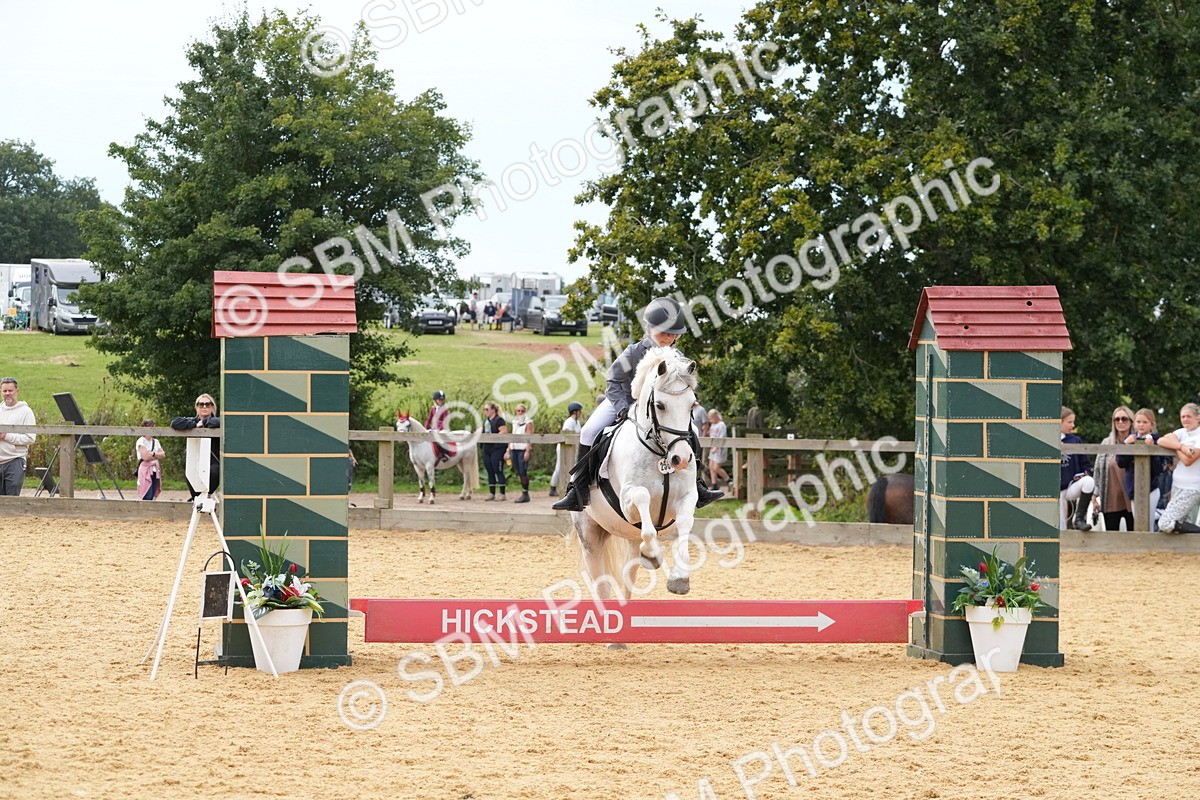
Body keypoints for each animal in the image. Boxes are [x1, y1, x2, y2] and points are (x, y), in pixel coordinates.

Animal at [571, 348, 701, 599]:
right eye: (660, 405)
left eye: (692, 405)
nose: (681, 459)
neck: (661, 454)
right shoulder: (628, 501)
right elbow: (642, 497)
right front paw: (652, 555)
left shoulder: (687, 497)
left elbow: (685, 523)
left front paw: (680, 578)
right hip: (589, 536)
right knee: (601, 584)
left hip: (630, 539)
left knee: (626, 581)